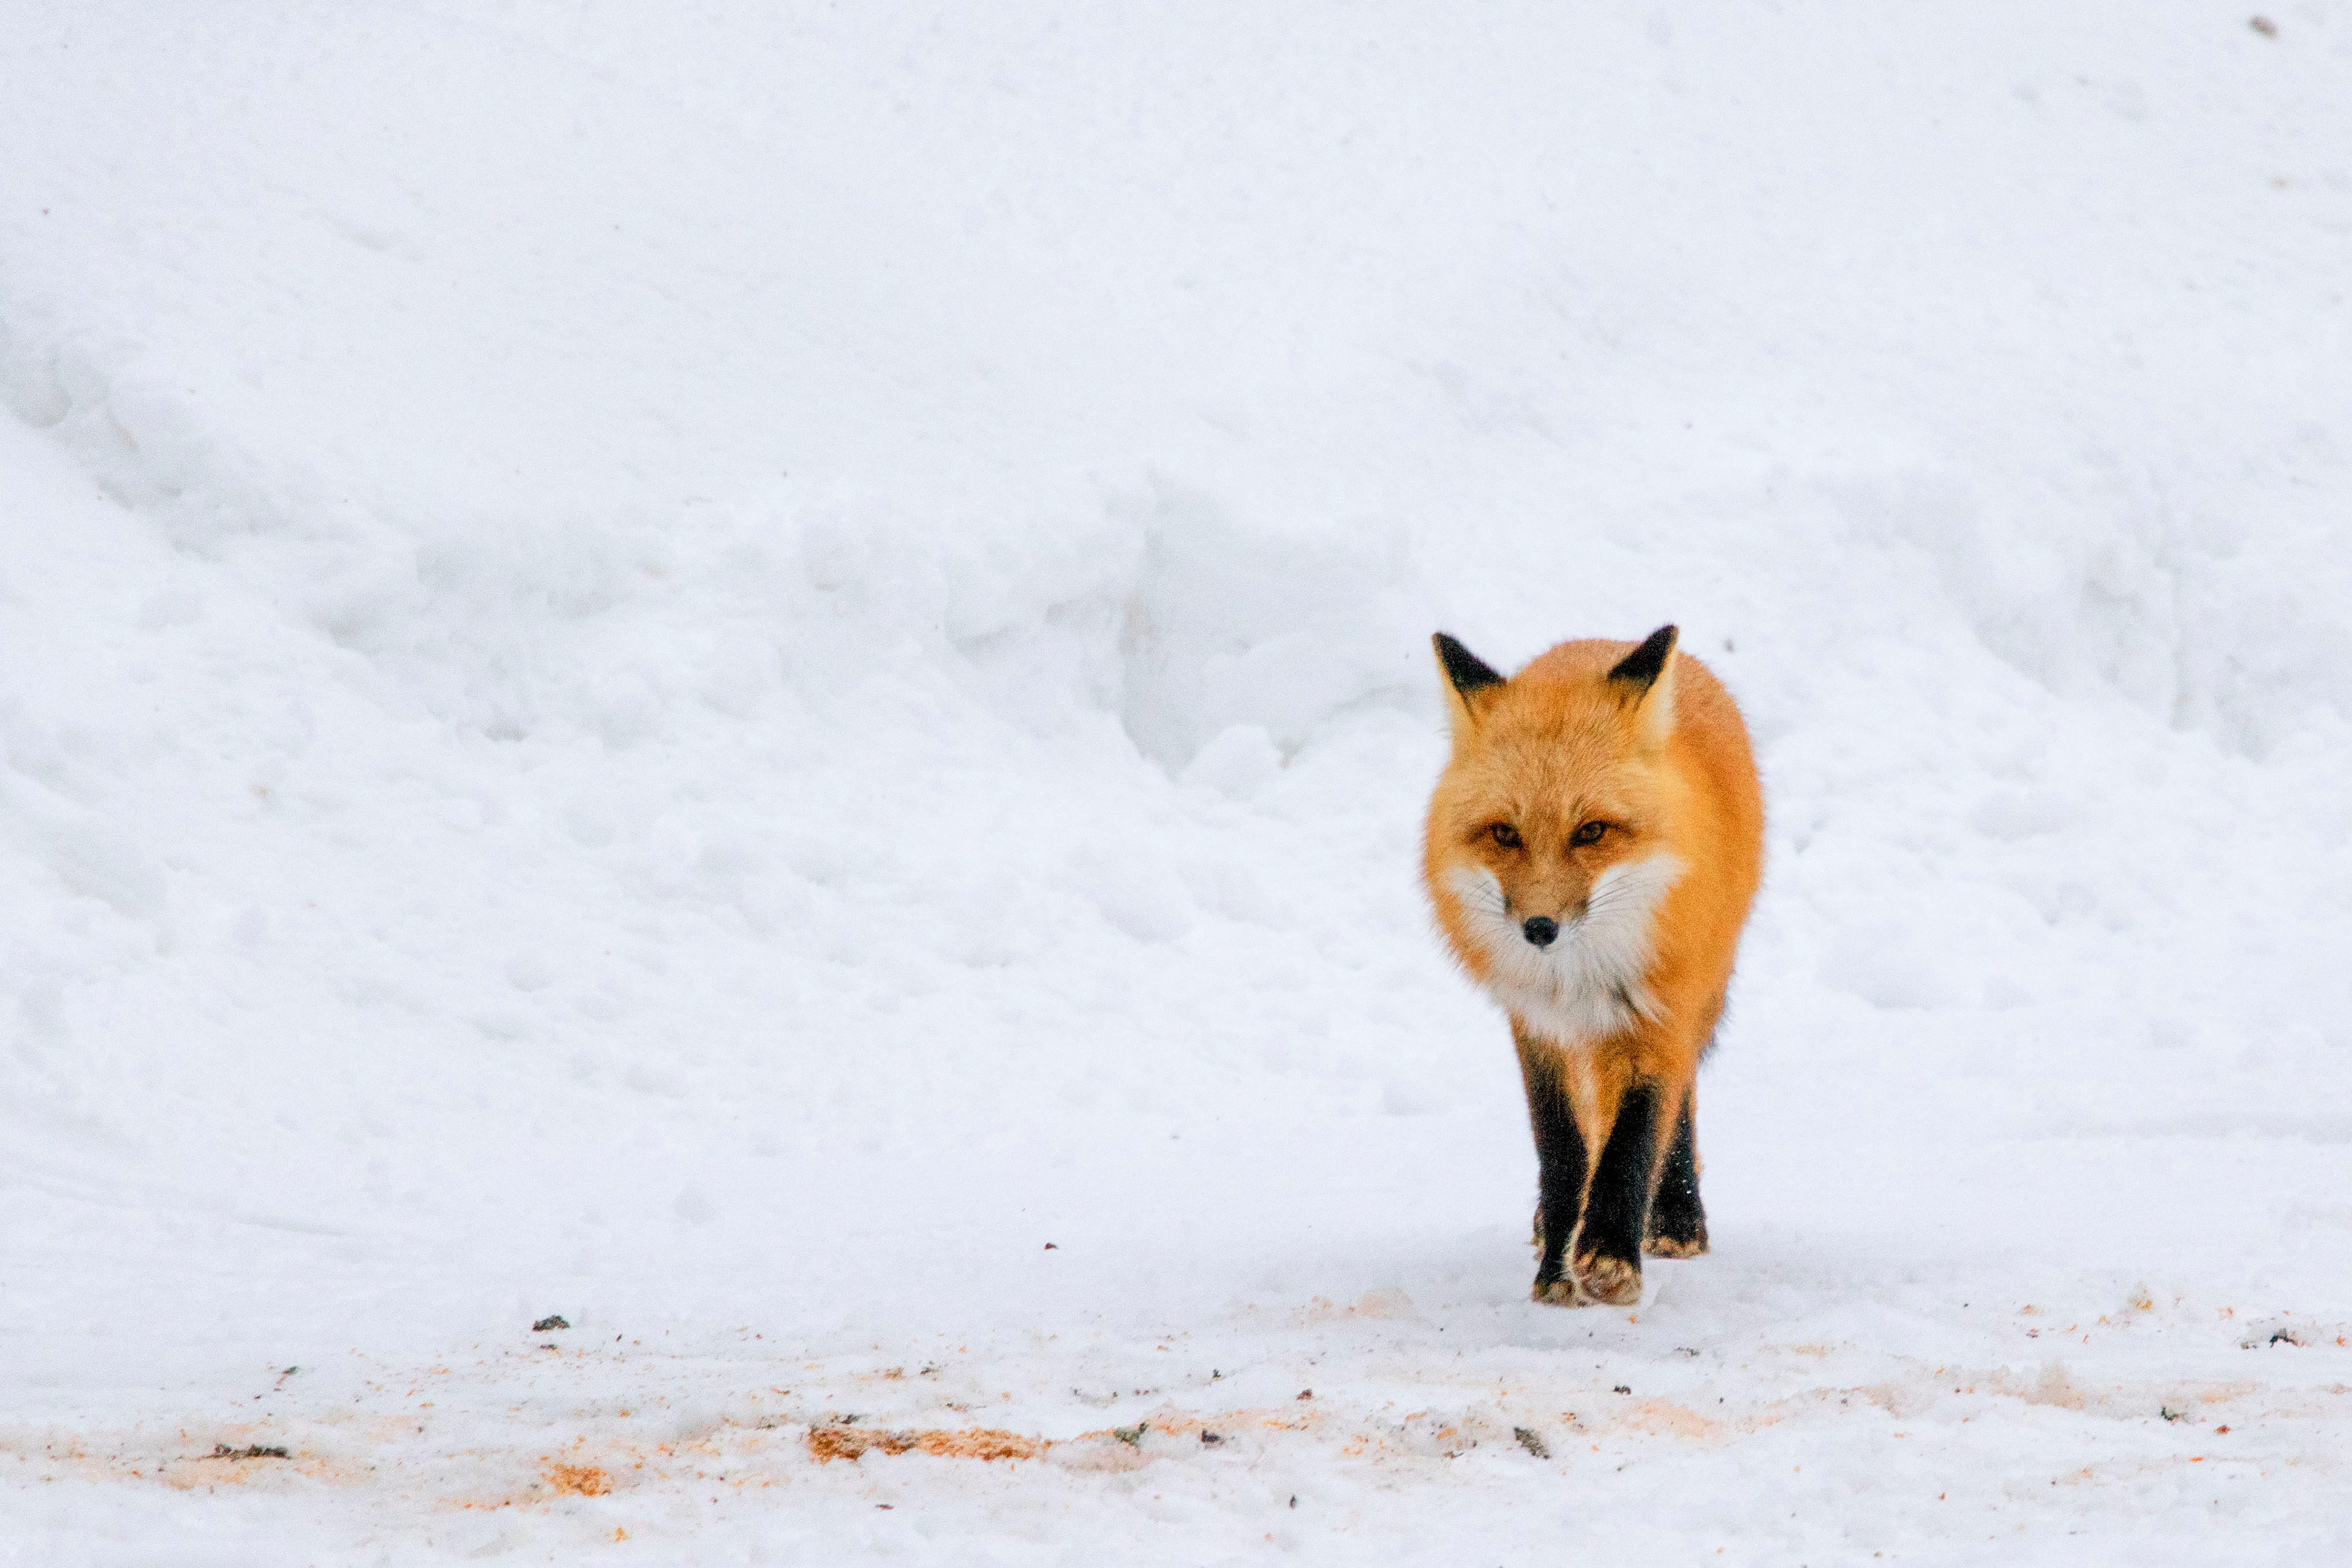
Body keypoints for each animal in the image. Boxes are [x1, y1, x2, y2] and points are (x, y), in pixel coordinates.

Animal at [1424, 624, 1763, 1307]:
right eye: (1504, 833)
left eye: (1592, 831)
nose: (1539, 929)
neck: (1577, 977)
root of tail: (1604, 641)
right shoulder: (1537, 1026)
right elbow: (1561, 1149)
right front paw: (1558, 1265)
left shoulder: (1660, 1009)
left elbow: (1635, 1136)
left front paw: (1609, 1252)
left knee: (1678, 1108)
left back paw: (1677, 1215)